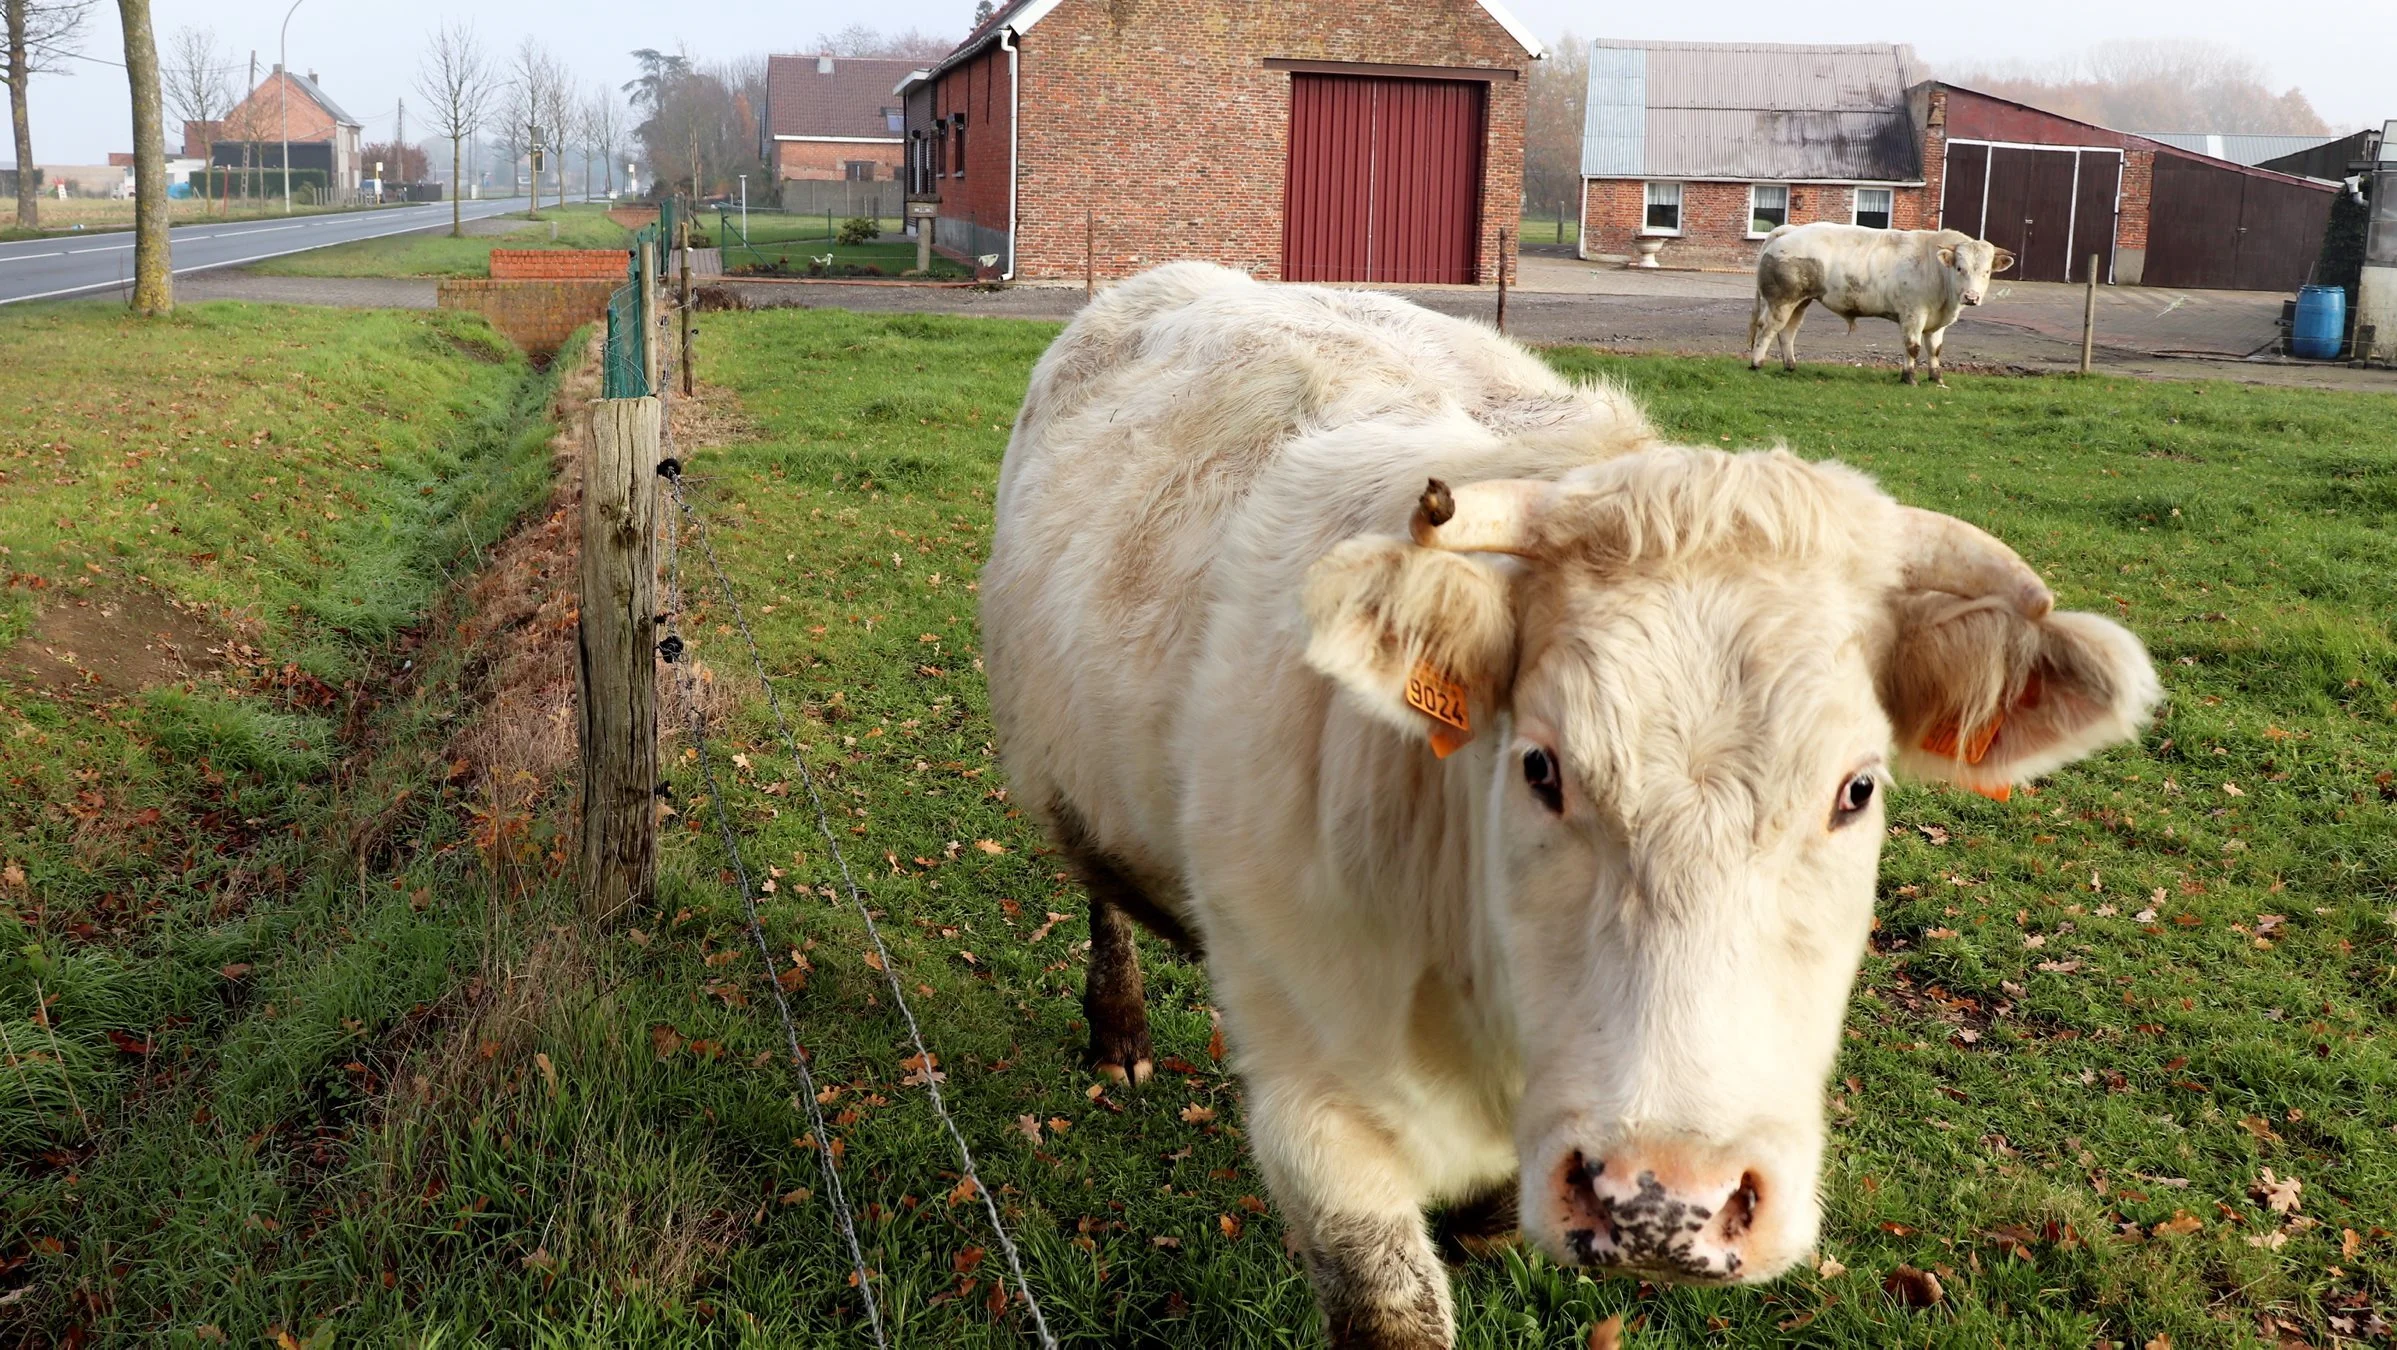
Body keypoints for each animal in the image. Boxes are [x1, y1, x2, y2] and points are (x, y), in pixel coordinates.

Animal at [973, 263, 2157, 1350]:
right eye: (1540, 766)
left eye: (1856, 789)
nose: (1668, 1204)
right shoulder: (1315, 1110)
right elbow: (1391, 1303)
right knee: (1103, 893)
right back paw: (1118, 1028)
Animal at [1754, 223, 2013, 386]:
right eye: (1960, 268)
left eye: (1986, 271)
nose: (1971, 297)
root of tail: (1790, 230)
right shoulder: (1913, 314)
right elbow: (1913, 347)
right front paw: (1909, 378)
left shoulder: (1937, 323)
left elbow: (1935, 350)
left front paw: (1937, 379)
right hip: (1781, 301)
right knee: (1767, 329)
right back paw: (1756, 363)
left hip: (1800, 301)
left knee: (1787, 333)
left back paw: (1790, 366)